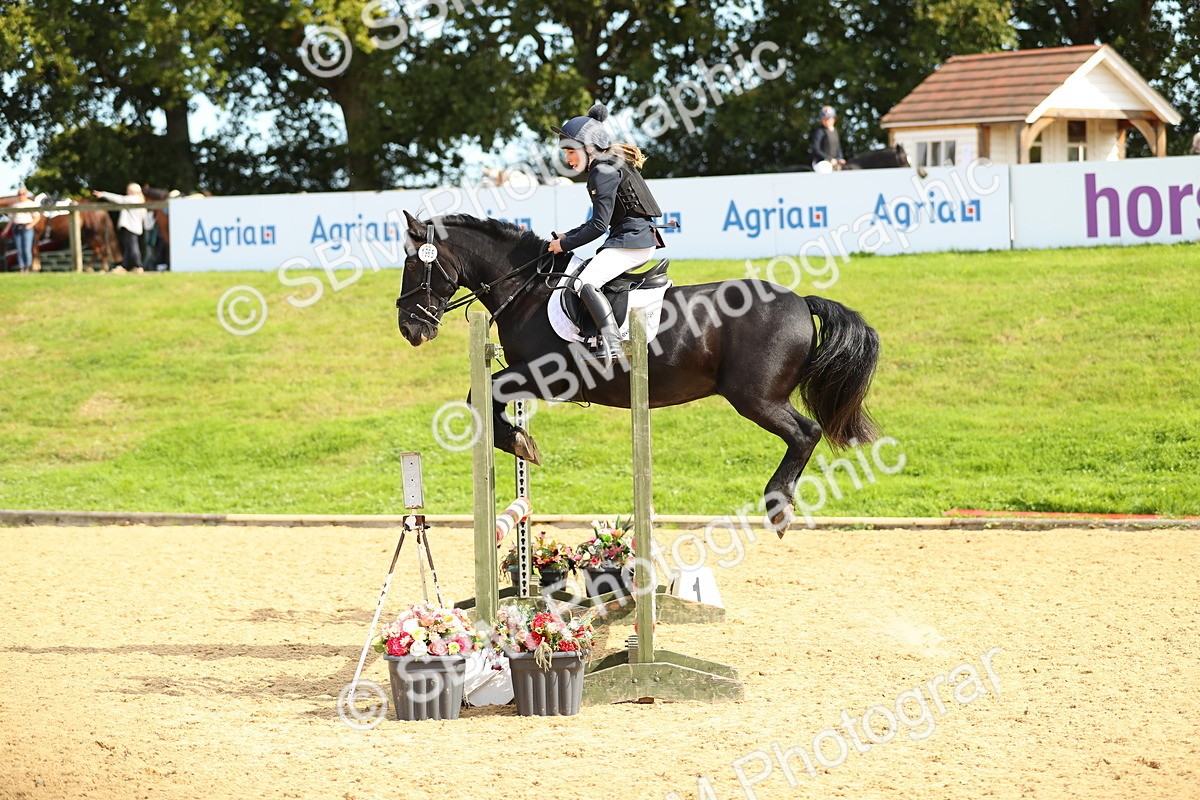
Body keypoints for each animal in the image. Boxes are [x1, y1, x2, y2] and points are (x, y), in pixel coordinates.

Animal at [394, 212, 881, 534]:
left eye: (414, 264)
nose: (409, 328)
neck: (525, 289)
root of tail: (800, 300)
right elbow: (487, 397)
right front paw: (520, 441)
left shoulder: (544, 376)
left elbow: (481, 394)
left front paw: (519, 443)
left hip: (756, 398)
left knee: (805, 432)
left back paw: (779, 508)